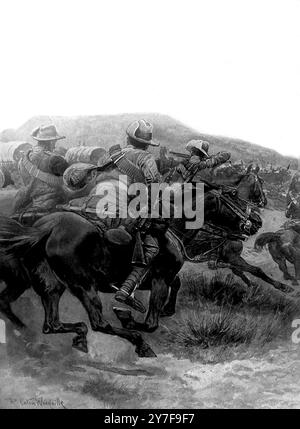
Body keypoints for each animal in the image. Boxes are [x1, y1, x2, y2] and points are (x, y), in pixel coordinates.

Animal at [0, 182, 264, 356]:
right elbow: (150, 323)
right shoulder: (159, 279)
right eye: (234, 195)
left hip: (51, 284)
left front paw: (167, 309)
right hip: (83, 285)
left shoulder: (165, 277)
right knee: (99, 324)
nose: (256, 223)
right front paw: (128, 316)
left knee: (50, 323)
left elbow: (176, 285)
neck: (171, 224)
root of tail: (47, 227)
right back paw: (137, 342)